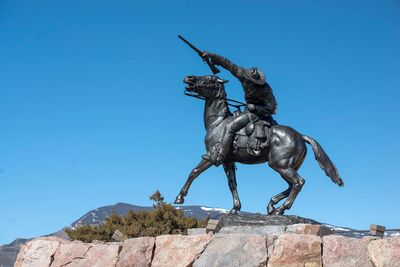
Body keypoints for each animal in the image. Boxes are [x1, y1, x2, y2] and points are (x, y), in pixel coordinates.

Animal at [173, 75, 342, 216]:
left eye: (209, 78)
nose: (189, 78)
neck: (218, 123)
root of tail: (300, 136)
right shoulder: (228, 161)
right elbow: (232, 184)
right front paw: (235, 208)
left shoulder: (210, 156)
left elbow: (194, 172)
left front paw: (180, 198)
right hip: (285, 166)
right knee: (291, 186)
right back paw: (272, 206)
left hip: (281, 165)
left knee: (298, 183)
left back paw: (279, 209)